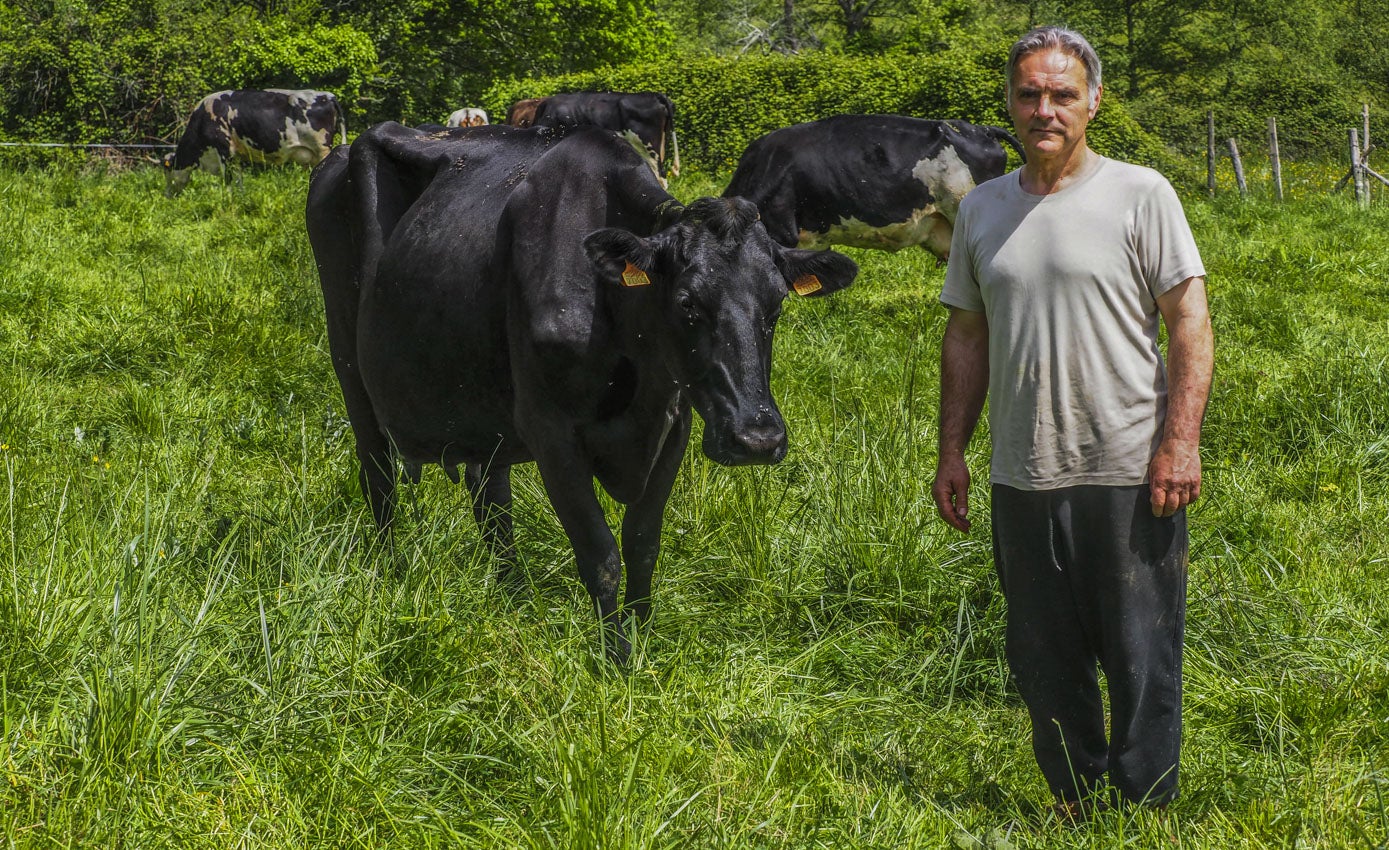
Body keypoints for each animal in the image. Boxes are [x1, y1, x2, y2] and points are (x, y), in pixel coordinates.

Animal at [161, 88, 345, 198]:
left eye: (166, 170)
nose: (167, 195)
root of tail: (328, 96)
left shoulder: (223, 150)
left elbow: (227, 181)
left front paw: (227, 202)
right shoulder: (236, 156)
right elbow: (239, 180)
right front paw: (241, 199)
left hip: (322, 148)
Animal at [306, 122, 855, 661]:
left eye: (777, 304)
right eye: (687, 302)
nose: (758, 439)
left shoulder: (674, 424)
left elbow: (642, 543)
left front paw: (643, 642)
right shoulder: (552, 433)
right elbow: (600, 552)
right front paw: (615, 659)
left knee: (492, 499)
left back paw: (515, 594)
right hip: (349, 362)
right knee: (379, 476)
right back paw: (391, 573)